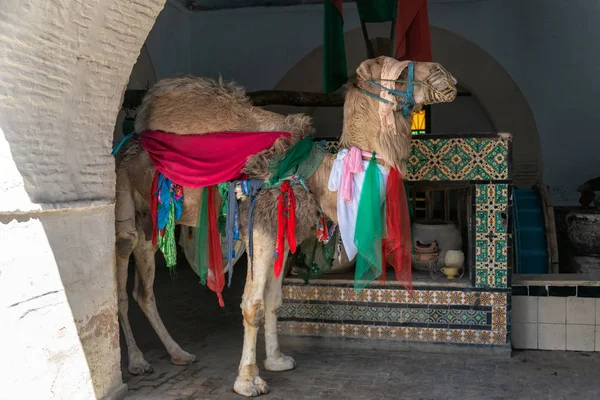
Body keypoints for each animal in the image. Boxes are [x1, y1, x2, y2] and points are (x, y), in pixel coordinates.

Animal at [115, 56, 458, 396]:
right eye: (399, 71)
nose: (445, 74)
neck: (316, 177)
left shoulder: (281, 232)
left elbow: (274, 300)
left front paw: (277, 360)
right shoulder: (260, 227)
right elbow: (252, 304)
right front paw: (248, 380)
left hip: (151, 222)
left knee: (143, 290)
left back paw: (178, 353)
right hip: (124, 210)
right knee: (121, 283)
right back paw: (137, 363)